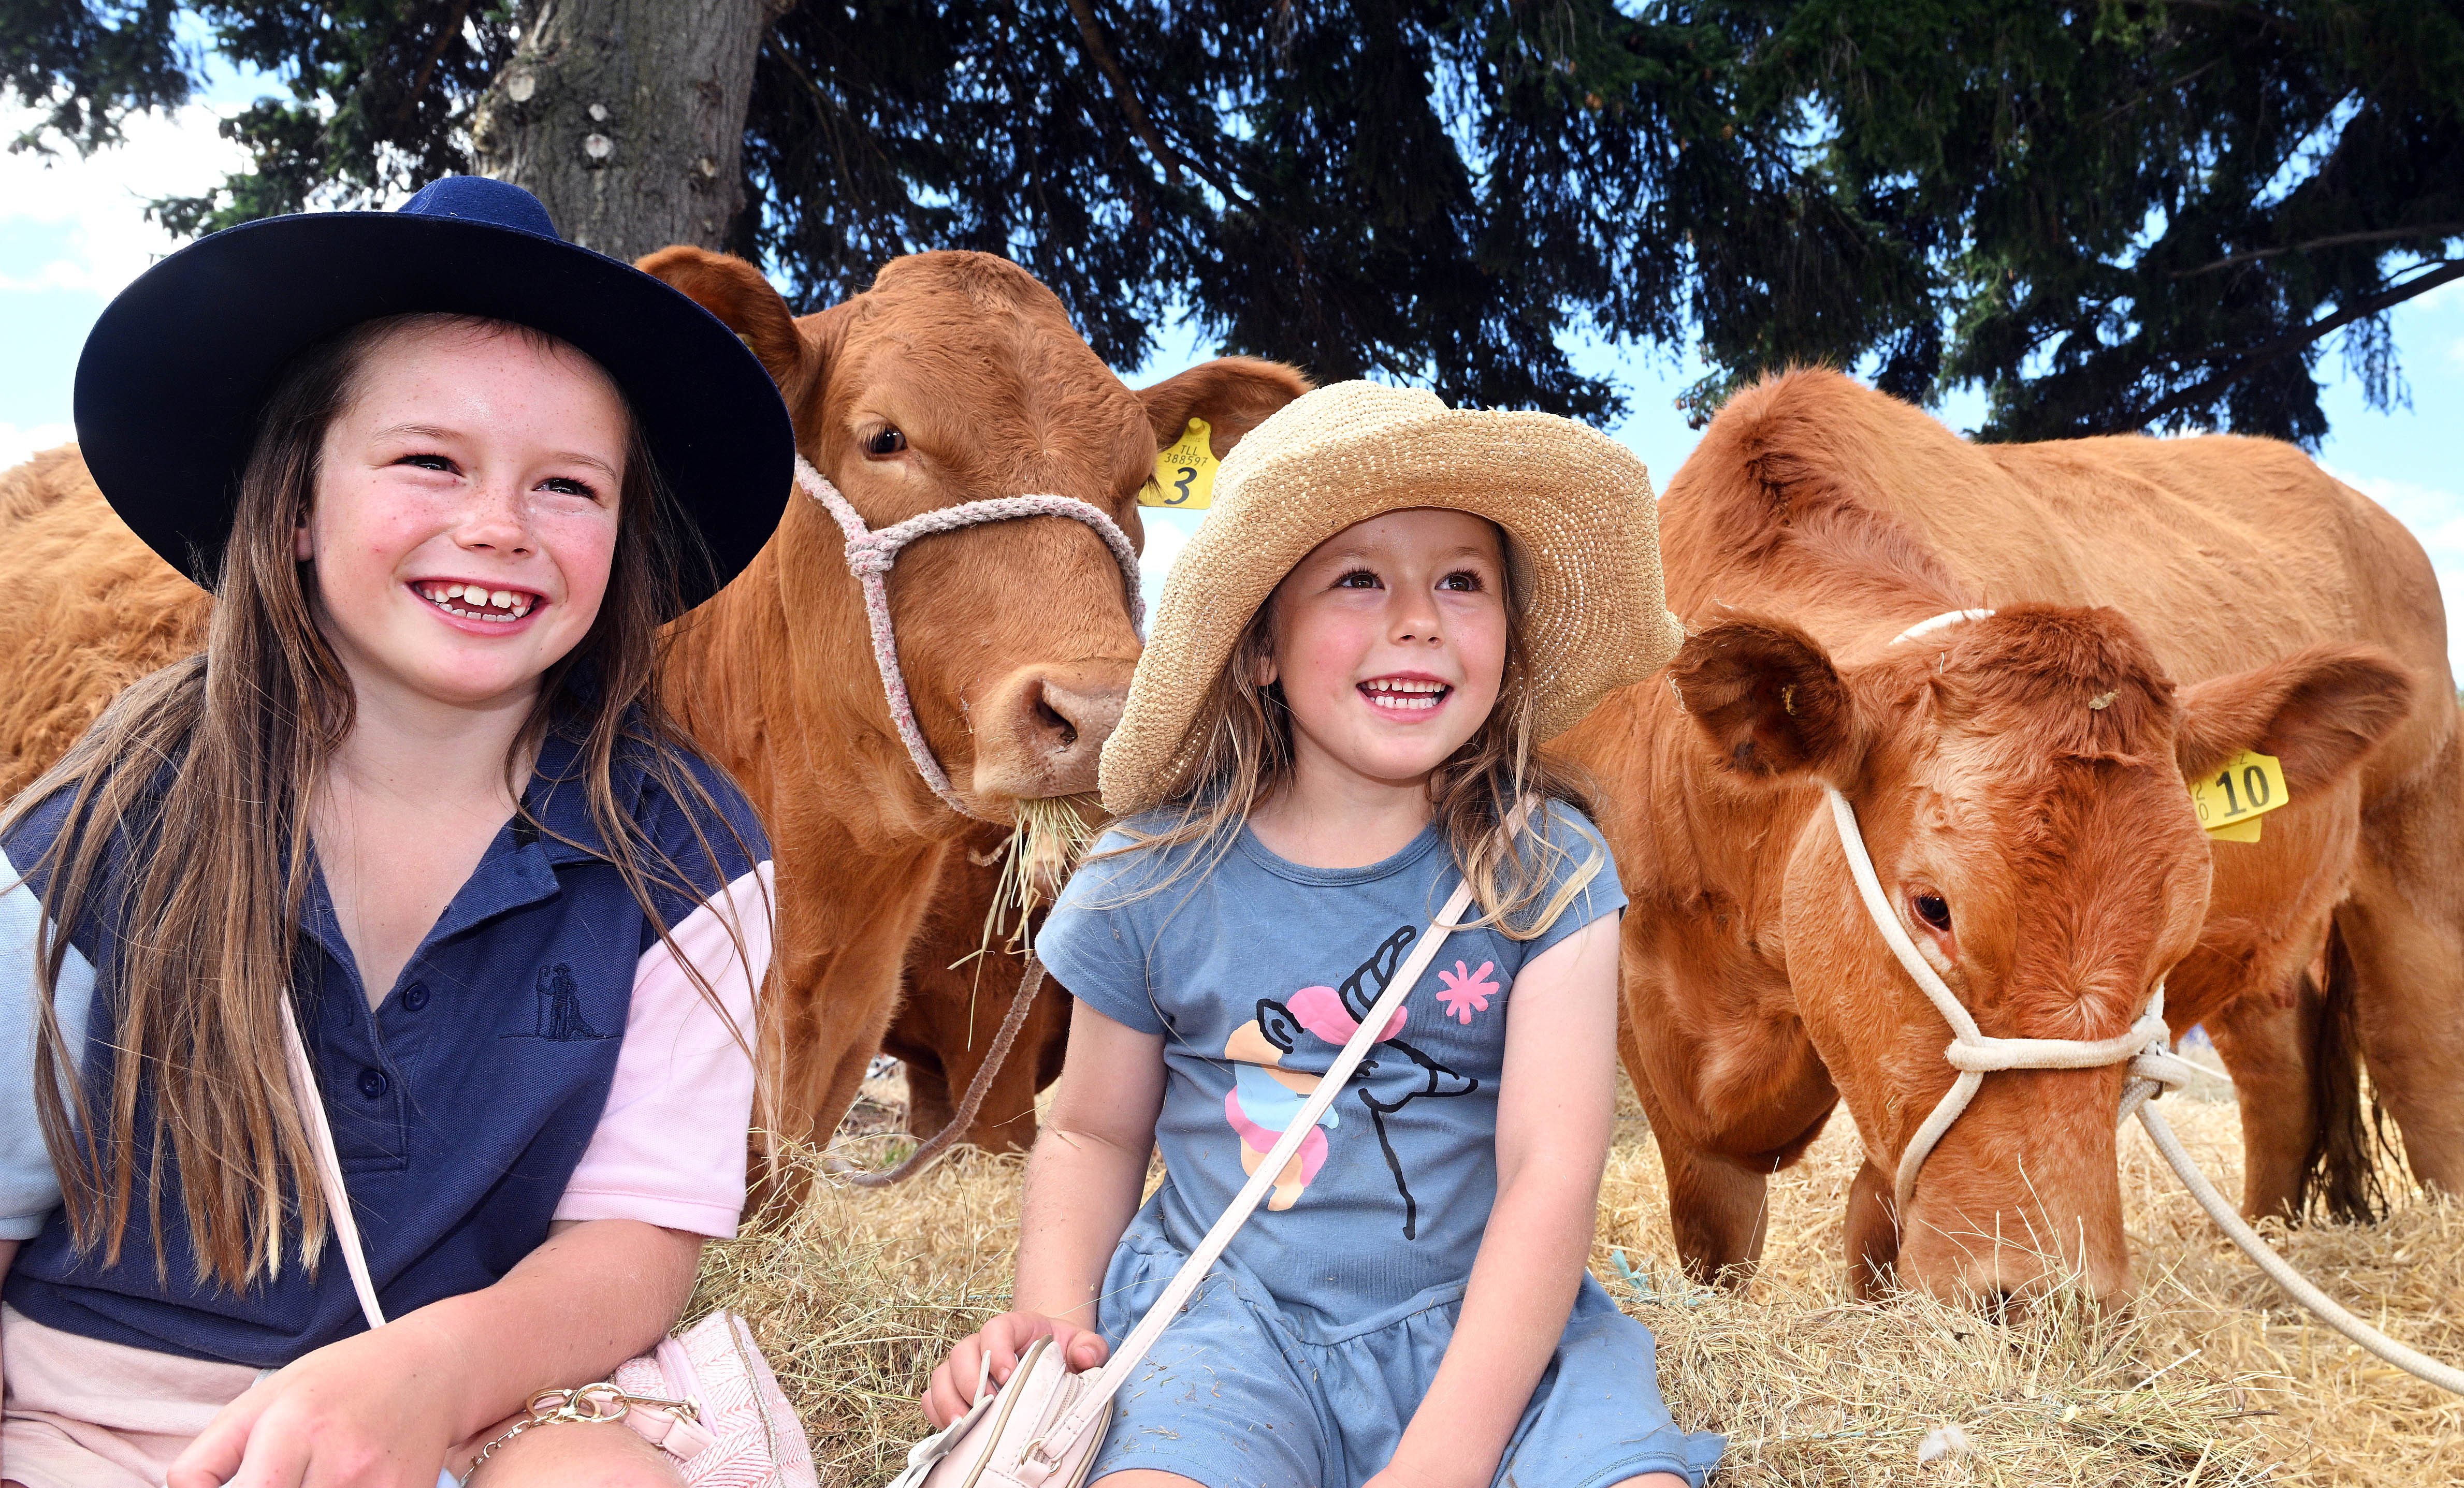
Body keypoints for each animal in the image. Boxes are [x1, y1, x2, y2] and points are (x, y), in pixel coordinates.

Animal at [1557, 369, 2444, 1301]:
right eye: (1932, 906)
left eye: (2168, 933)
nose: (2056, 1296)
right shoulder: (1655, 1036)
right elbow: (1712, 1235)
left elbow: (1874, 1227)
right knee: (2282, 1070)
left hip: (2419, 836)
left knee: (2417, 1048)